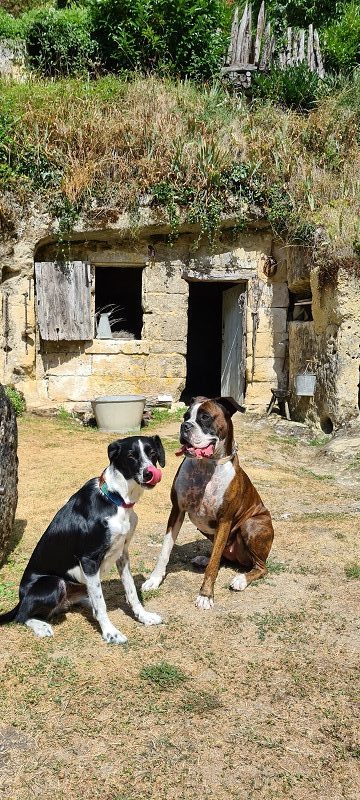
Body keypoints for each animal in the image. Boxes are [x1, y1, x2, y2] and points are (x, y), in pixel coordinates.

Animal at [0, 434, 165, 648]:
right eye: (131, 456)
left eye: (152, 453)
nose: (149, 473)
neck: (117, 500)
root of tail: (20, 598)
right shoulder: (89, 560)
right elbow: (101, 604)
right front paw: (110, 633)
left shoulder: (122, 554)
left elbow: (131, 592)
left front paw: (144, 616)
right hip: (54, 583)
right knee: (21, 616)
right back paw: (41, 626)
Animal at [142, 396, 274, 608]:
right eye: (185, 416)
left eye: (205, 417)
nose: (185, 426)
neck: (206, 466)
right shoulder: (177, 511)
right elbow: (165, 550)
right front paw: (154, 580)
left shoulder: (225, 521)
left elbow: (213, 566)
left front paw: (205, 595)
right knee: (221, 556)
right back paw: (205, 559)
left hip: (251, 524)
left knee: (260, 567)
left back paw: (241, 579)